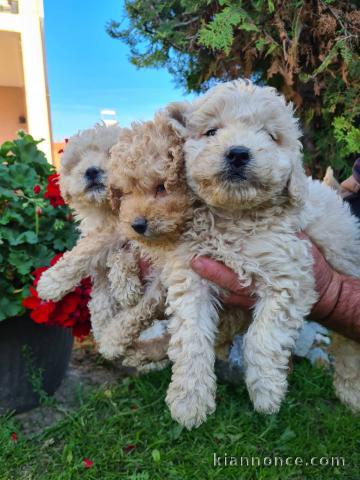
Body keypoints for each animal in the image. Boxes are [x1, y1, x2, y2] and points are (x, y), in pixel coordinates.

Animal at [166, 79, 360, 428]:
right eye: (211, 131)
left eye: (270, 136)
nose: (238, 153)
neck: (235, 217)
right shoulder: (192, 275)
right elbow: (190, 337)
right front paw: (189, 398)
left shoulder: (289, 274)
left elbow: (262, 336)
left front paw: (267, 392)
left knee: (350, 345)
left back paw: (351, 391)